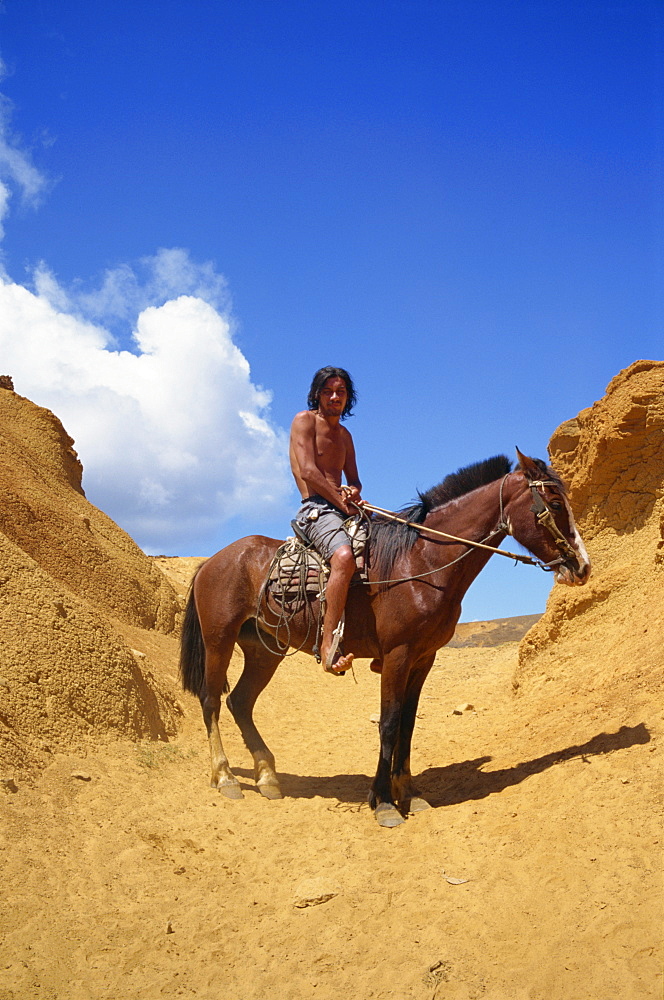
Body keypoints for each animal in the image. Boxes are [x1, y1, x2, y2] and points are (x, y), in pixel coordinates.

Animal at [179, 454, 588, 828]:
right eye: (554, 505)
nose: (582, 566)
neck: (421, 562)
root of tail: (212, 561)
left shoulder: (424, 658)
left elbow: (407, 724)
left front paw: (410, 793)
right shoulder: (397, 655)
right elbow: (389, 723)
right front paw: (384, 802)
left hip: (265, 649)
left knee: (240, 702)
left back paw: (267, 777)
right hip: (220, 640)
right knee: (211, 700)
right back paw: (226, 777)